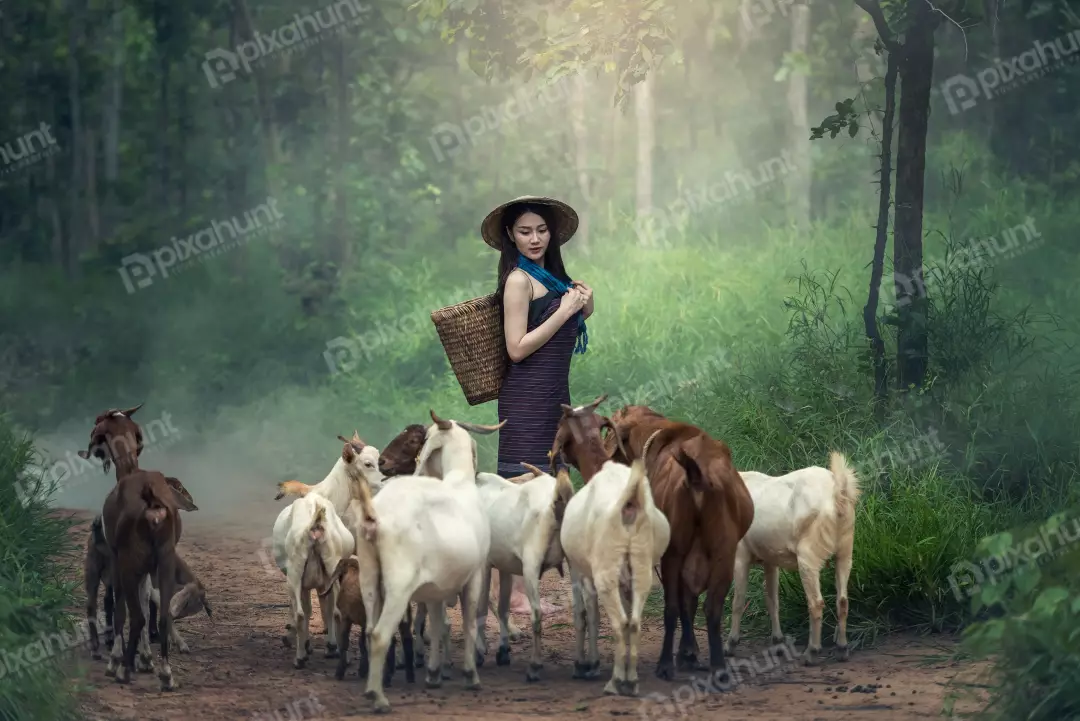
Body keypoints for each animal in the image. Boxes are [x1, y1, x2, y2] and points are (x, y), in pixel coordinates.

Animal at [343, 407, 498, 712]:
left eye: (418, 439)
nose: (383, 462)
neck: (459, 481)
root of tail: (375, 517)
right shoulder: (475, 574)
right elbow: (468, 620)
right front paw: (471, 675)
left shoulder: (437, 585)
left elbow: (438, 625)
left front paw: (434, 673)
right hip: (399, 585)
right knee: (380, 635)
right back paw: (378, 698)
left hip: (369, 578)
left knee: (369, 630)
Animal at [473, 461, 574, 682]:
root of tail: (558, 499)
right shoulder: (504, 565)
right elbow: (503, 607)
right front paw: (503, 651)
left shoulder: (484, 564)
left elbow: (481, 607)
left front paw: (479, 652)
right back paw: (585, 665)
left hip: (531, 565)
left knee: (536, 614)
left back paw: (535, 667)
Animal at [557, 459, 665, 695]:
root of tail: (629, 499)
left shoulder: (581, 574)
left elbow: (586, 614)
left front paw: (585, 664)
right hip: (641, 565)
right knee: (633, 622)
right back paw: (631, 680)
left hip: (606, 572)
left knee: (620, 623)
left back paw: (616, 682)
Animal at [609, 405, 751, 682]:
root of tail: (697, 477)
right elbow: (690, 603)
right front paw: (689, 653)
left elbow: (685, 604)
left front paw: (687, 653)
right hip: (722, 553)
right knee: (709, 609)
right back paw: (717, 667)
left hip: (677, 553)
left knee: (675, 607)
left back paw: (668, 664)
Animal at [725, 451, 859, 664]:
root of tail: (837, 493)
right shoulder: (770, 560)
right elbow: (772, 600)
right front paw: (778, 642)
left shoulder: (740, 556)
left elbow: (738, 601)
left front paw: (730, 644)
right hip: (845, 550)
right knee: (843, 600)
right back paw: (842, 649)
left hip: (808, 556)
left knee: (816, 603)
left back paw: (811, 652)